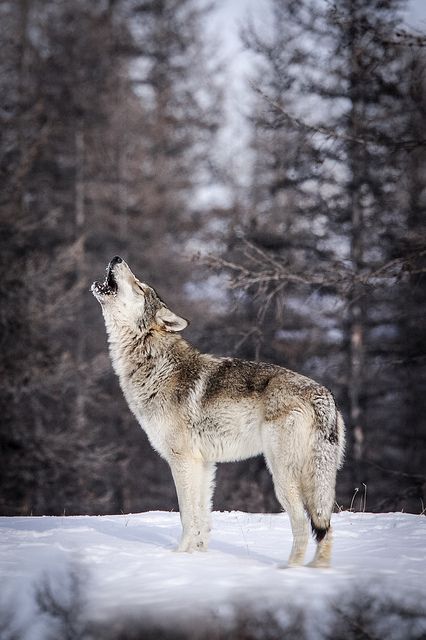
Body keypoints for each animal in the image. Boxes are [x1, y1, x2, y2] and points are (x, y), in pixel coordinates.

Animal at [91, 258, 344, 568]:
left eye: (139, 285)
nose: (117, 258)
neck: (154, 363)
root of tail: (323, 395)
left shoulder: (182, 461)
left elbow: (187, 516)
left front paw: (178, 557)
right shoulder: (204, 464)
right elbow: (202, 519)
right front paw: (199, 558)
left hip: (283, 478)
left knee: (303, 525)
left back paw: (290, 570)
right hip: (315, 480)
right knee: (327, 528)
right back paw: (317, 570)